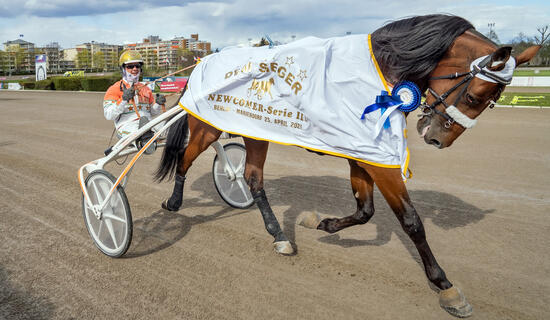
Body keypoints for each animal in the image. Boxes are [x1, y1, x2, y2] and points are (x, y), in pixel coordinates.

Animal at [153, 14, 540, 318]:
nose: (436, 139)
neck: (382, 72)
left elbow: (365, 210)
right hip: (209, 126)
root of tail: (204, 62)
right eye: (475, 95)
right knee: (188, 159)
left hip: (253, 131)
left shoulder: (363, 151)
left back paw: (278, 234)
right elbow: (411, 221)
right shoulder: (380, 160)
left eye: (491, 104)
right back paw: (175, 202)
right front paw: (443, 283)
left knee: (251, 177)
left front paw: (322, 223)